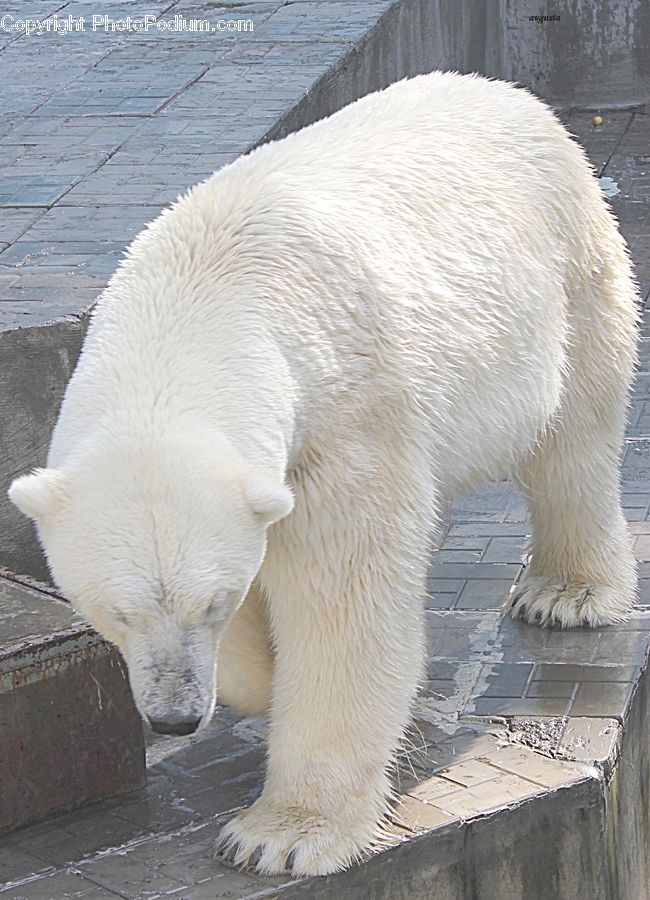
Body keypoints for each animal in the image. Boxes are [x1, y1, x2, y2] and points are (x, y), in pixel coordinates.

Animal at [8, 70, 639, 877]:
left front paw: (280, 834)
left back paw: (568, 592)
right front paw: (265, 679)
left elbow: (343, 598)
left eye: (210, 603)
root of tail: (505, 91)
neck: (203, 287)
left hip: (566, 262)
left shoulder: (343, 417)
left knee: (575, 432)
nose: (175, 718)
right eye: (116, 611)